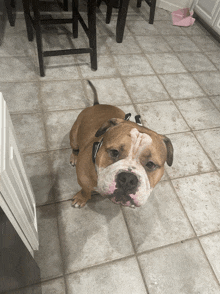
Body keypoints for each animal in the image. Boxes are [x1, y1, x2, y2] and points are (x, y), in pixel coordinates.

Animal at [69, 80, 173, 208]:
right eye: (114, 152)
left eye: (150, 164)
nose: (128, 179)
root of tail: (97, 105)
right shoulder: (83, 179)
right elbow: (85, 190)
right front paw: (81, 198)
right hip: (74, 136)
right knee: (74, 148)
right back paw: (74, 157)